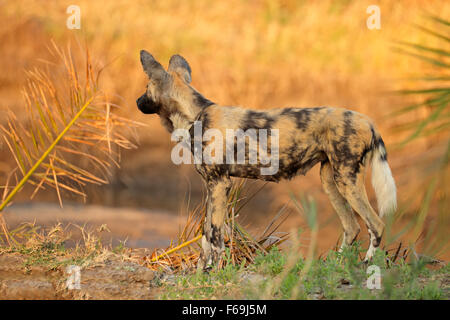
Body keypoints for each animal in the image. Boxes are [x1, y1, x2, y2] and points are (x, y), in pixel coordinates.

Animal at [137, 50, 398, 270]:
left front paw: (212, 272)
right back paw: (334, 266)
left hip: (347, 180)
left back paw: (367, 265)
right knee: (352, 227)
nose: (137, 101)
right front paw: (201, 269)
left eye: (146, 87)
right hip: (332, 181)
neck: (196, 117)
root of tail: (369, 121)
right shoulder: (212, 187)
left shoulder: (220, 184)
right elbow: (206, 234)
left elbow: (215, 235)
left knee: (376, 224)